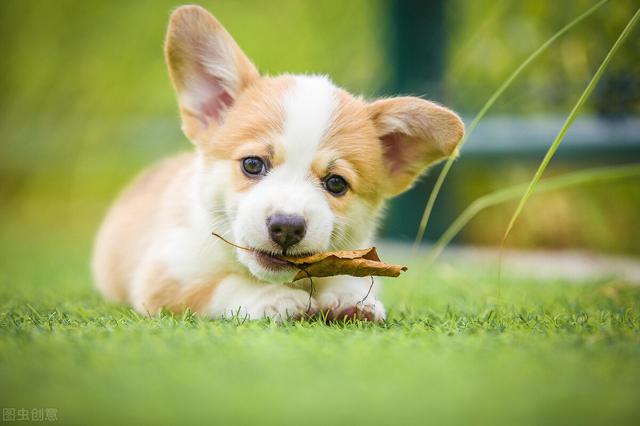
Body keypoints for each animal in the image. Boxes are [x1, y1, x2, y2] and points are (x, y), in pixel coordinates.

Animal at [91, 5, 460, 322]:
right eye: (253, 165)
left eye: (336, 183)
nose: (286, 227)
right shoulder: (166, 275)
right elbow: (223, 284)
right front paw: (273, 298)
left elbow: (353, 277)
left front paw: (353, 297)